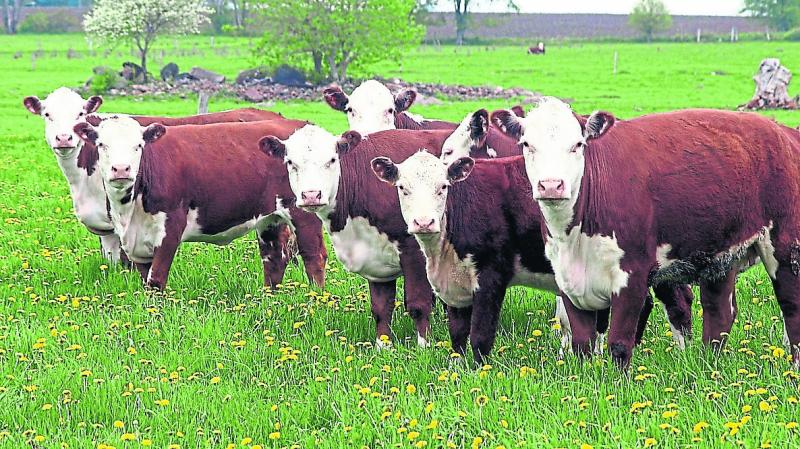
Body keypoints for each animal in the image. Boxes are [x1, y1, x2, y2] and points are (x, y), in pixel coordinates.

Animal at [72, 116, 327, 290]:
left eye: (138, 146)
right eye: (102, 145)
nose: (121, 169)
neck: (128, 211)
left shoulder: (171, 228)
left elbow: (156, 280)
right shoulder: (136, 242)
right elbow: (145, 279)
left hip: (305, 209)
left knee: (314, 256)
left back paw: (315, 299)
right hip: (270, 217)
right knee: (274, 258)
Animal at [370, 152, 694, 364]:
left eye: (443, 187)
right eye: (402, 188)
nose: (423, 222)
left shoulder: (492, 275)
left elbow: (480, 334)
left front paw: (478, 373)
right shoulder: (455, 281)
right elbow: (458, 335)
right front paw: (456, 369)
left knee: (677, 303)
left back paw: (683, 354)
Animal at [492, 97, 800, 369]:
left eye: (577, 145)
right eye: (526, 144)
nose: (551, 185)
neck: (575, 238)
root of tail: (783, 131)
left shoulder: (634, 273)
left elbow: (619, 342)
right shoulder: (566, 278)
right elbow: (581, 344)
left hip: (786, 247)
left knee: (791, 308)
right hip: (720, 255)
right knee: (718, 313)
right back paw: (707, 365)